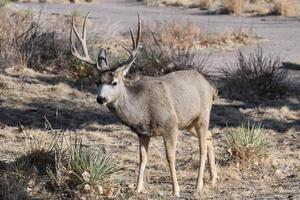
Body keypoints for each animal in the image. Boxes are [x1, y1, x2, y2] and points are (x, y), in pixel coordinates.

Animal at [70, 13, 218, 197]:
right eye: (97, 81)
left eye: (114, 82)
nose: (100, 98)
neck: (142, 108)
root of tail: (209, 86)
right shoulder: (142, 132)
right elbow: (142, 158)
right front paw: (137, 188)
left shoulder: (170, 124)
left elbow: (170, 157)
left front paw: (175, 190)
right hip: (189, 121)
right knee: (209, 136)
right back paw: (213, 179)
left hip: (203, 115)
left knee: (202, 147)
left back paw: (198, 186)